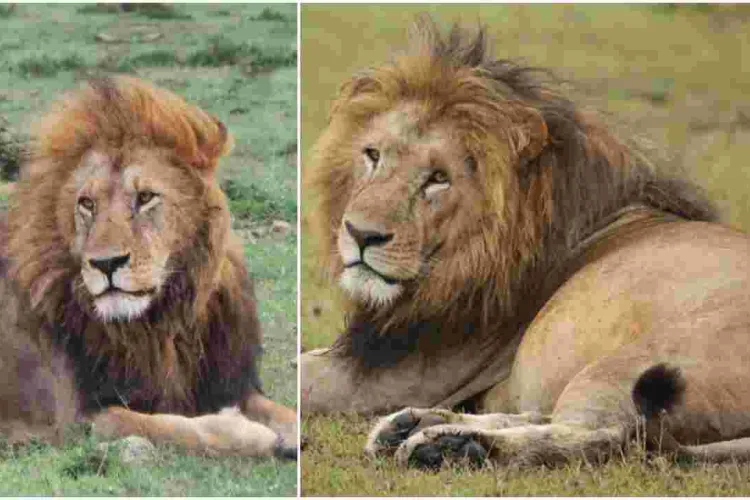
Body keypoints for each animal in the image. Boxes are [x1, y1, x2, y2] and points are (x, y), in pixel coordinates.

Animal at [0, 76, 296, 458]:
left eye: (145, 198)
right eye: (87, 203)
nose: (106, 263)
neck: (162, 323)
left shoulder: (224, 382)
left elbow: (282, 411)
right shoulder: (75, 421)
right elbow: (168, 426)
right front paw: (250, 433)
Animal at [301, 17, 750, 468]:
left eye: (439, 178)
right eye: (372, 155)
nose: (360, 234)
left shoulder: (394, 377)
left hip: (629, 364)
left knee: (605, 434)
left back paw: (452, 446)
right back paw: (414, 426)